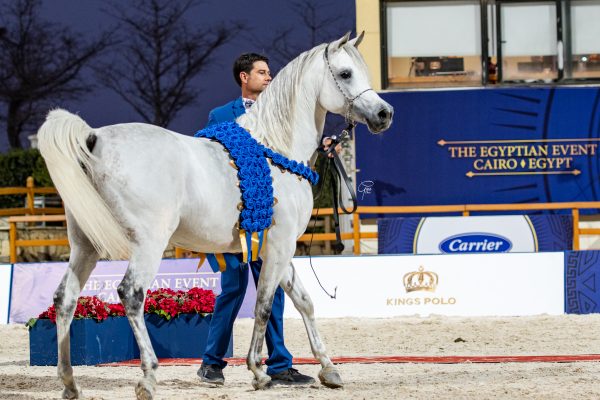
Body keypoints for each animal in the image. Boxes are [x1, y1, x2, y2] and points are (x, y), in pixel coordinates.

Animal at [37, 32, 394, 398]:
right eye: (346, 73)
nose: (385, 114)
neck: (275, 150)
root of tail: (94, 138)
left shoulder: (276, 249)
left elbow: (303, 301)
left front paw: (328, 369)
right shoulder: (280, 246)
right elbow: (264, 304)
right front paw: (258, 372)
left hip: (85, 246)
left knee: (65, 300)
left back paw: (69, 382)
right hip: (148, 244)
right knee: (131, 295)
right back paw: (148, 377)